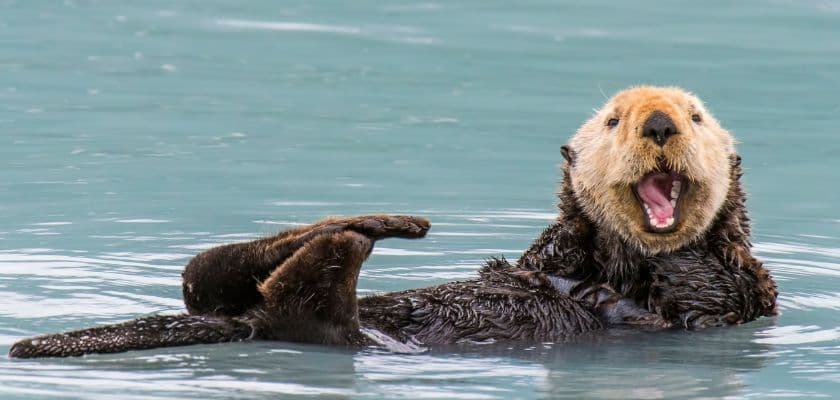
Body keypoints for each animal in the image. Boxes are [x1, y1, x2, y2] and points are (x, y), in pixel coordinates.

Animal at [9, 86, 777, 358]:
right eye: (614, 120)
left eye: (696, 116)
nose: (658, 123)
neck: (621, 260)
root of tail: (242, 323)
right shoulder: (548, 257)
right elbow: (538, 262)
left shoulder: (741, 294)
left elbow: (701, 290)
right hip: (237, 297)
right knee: (207, 275)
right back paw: (376, 223)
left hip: (334, 330)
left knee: (292, 304)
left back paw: (353, 239)